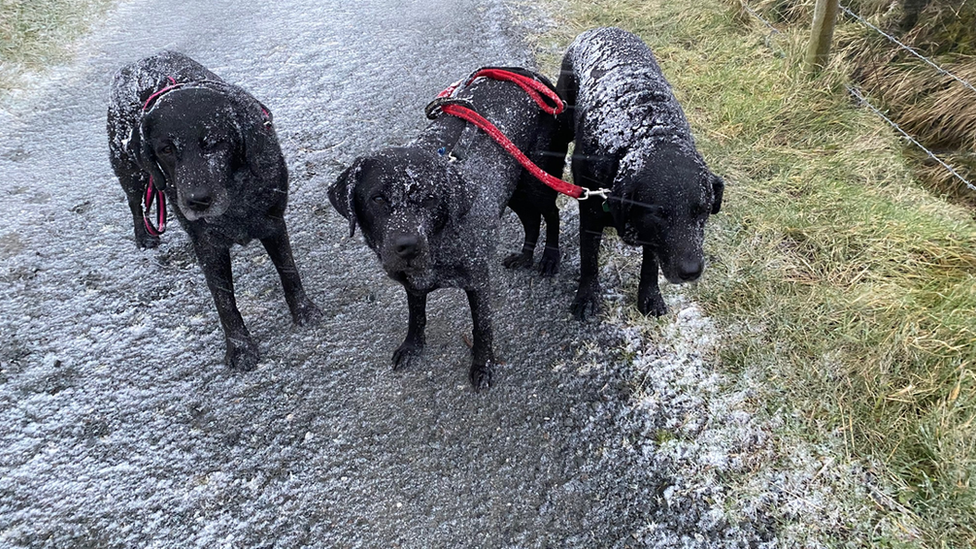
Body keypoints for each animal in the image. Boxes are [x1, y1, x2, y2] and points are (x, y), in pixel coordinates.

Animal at [107, 51, 320, 370]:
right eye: (166, 149)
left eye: (214, 142)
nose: (197, 201)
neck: (236, 198)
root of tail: (137, 64)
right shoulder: (207, 245)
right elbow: (224, 301)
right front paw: (240, 348)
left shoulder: (272, 221)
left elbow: (288, 270)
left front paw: (303, 310)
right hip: (129, 168)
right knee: (136, 202)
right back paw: (144, 236)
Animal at [548, 27, 724, 318]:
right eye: (659, 214)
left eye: (702, 210)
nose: (691, 271)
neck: (642, 135)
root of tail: (603, 28)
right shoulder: (591, 214)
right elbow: (589, 259)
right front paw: (587, 296)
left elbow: (650, 264)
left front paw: (650, 295)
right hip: (562, 118)